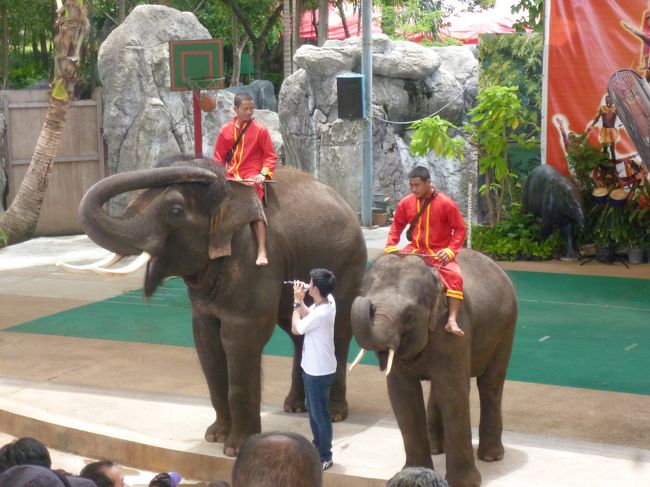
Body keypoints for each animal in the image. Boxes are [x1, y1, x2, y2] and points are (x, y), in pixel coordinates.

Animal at [78, 155, 368, 458]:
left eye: (175, 210)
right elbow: (206, 341)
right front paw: (214, 437)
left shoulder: (256, 264)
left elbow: (240, 339)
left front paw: (235, 448)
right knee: (296, 331)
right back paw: (294, 407)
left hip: (348, 264)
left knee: (337, 330)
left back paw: (333, 413)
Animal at [350, 252, 516, 487]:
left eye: (409, 316)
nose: (367, 303)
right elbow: (403, 395)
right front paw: (412, 472)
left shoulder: (455, 331)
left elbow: (454, 393)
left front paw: (464, 483)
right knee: (438, 388)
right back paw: (438, 449)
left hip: (506, 327)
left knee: (490, 383)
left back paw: (491, 457)